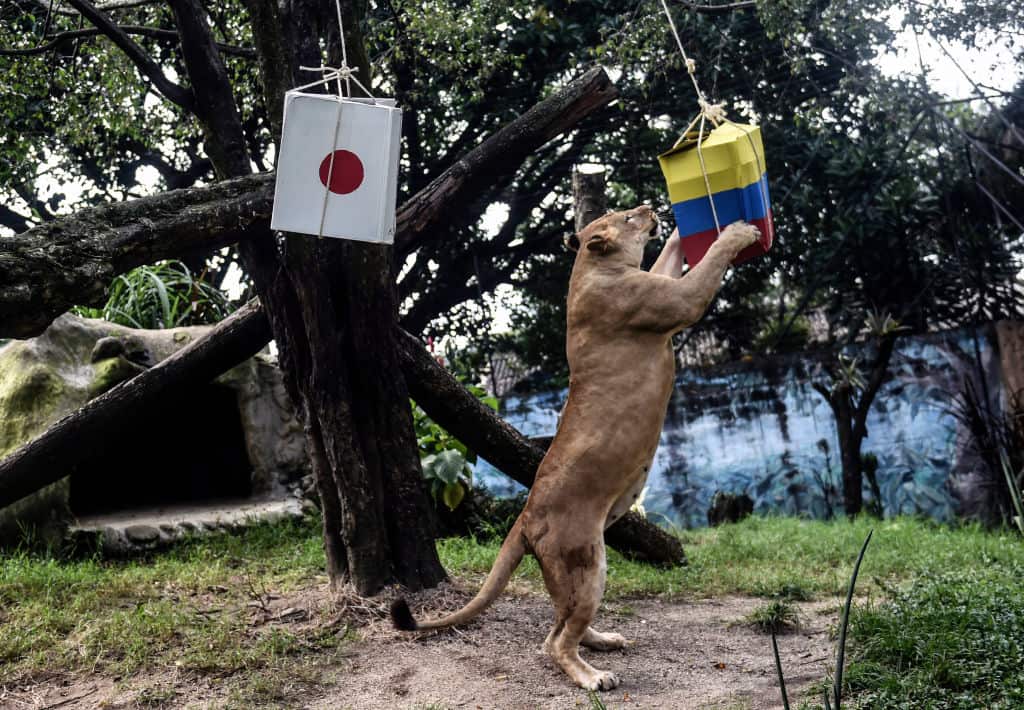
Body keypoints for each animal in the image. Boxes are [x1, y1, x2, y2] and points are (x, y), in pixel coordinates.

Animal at [392, 207, 761, 691]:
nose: (648, 208)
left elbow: (666, 257)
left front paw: (680, 227)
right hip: (585, 563)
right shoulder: (673, 301)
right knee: (554, 641)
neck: (591, 267)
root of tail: (525, 516)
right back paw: (593, 677)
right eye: (628, 217)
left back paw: (603, 640)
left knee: (562, 622)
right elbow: (708, 266)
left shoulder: (656, 280)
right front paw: (738, 232)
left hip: (570, 577)